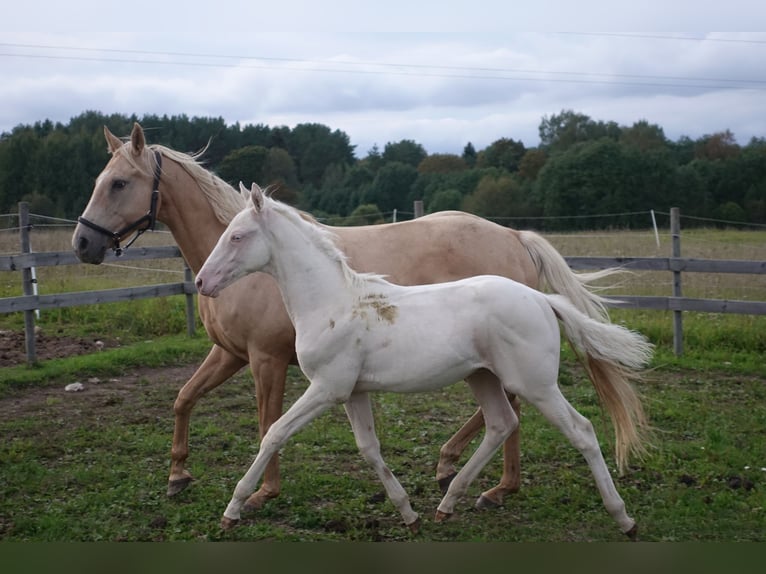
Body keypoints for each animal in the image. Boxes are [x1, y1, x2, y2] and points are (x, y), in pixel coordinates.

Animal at [75, 121, 620, 512]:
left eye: (119, 183)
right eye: (100, 180)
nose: (83, 243)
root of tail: (514, 236)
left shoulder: (266, 360)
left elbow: (268, 423)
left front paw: (260, 493)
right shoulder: (229, 354)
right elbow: (184, 399)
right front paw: (178, 475)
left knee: (518, 411)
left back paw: (490, 483)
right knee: (505, 414)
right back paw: (462, 473)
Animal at [195, 186, 652, 540]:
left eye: (237, 236)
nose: (201, 282)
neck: (332, 302)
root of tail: (541, 298)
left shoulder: (326, 388)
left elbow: (273, 433)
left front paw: (232, 511)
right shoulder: (352, 393)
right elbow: (369, 449)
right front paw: (408, 515)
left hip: (536, 385)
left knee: (582, 431)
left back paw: (624, 519)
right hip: (482, 378)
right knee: (501, 424)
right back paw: (446, 503)